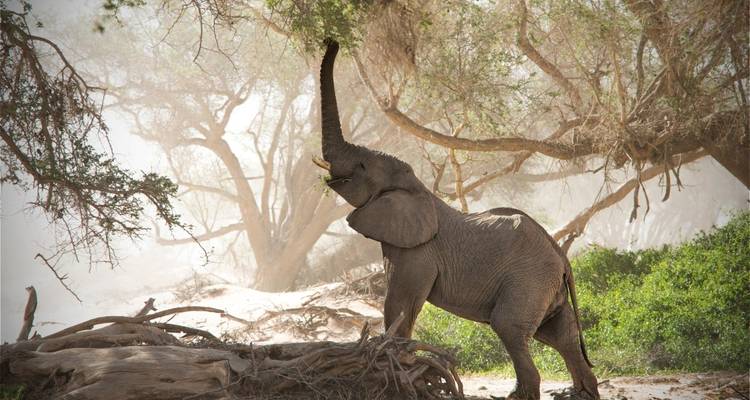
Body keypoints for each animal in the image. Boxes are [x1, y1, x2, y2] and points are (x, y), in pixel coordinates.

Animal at [313, 40, 600, 400]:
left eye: (363, 166)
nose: (333, 41)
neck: (417, 188)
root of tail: (562, 256)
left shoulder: (417, 252)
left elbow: (400, 305)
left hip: (529, 279)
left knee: (510, 327)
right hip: (546, 286)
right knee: (560, 335)